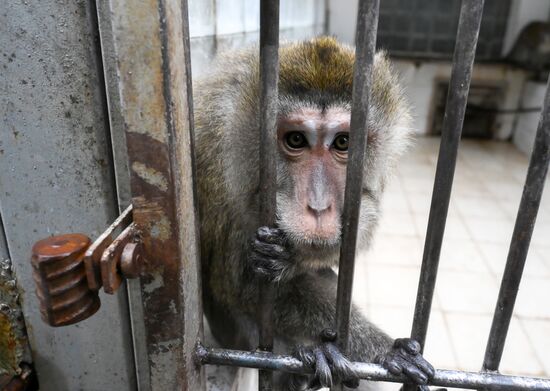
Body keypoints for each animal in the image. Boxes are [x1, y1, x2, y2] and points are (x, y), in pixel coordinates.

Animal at [196, 35, 438, 390]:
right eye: (296, 139)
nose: (319, 206)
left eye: (343, 142)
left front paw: (287, 258)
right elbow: (238, 282)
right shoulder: (214, 167)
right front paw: (384, 350)